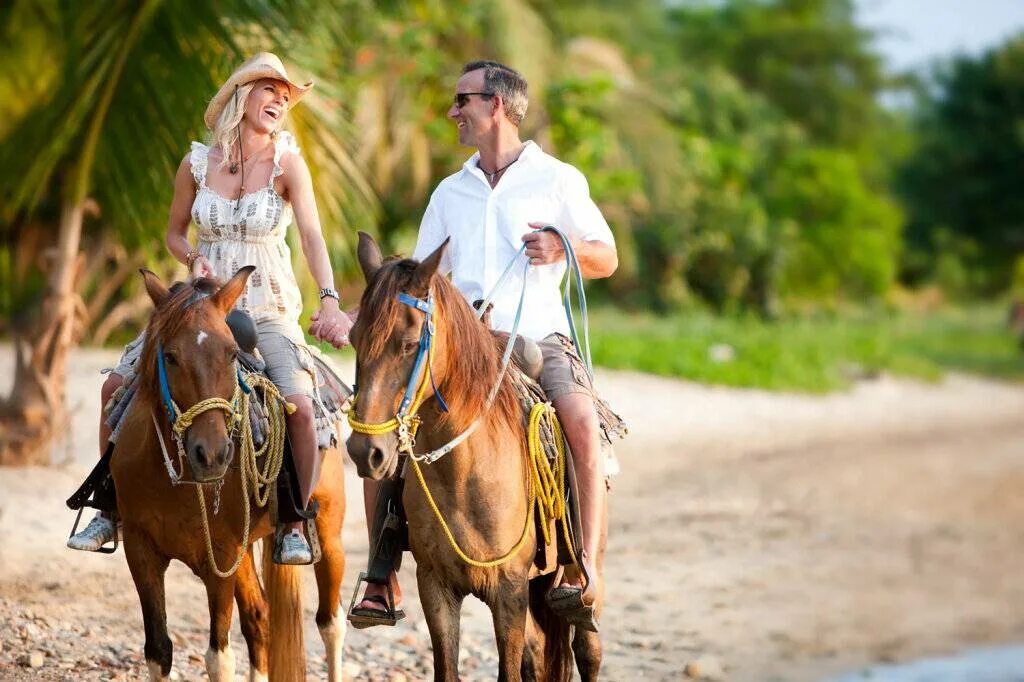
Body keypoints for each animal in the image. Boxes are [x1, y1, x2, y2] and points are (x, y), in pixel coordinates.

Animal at [108, 266, 348, 679]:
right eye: (170, 356)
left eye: (232, 353)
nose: (213, 454)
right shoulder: (141, 552)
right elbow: (158, 649)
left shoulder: (219, 558)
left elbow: (219, 657)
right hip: (247, 551)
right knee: (259, 618)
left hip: (329, 533)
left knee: (330, 623)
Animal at [348, 231, 602, 675]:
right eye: (352, 339)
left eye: (410, 344)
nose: (366, 451)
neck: (463, 473)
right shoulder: (435, 587)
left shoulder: (510, 592)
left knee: (587, 650)